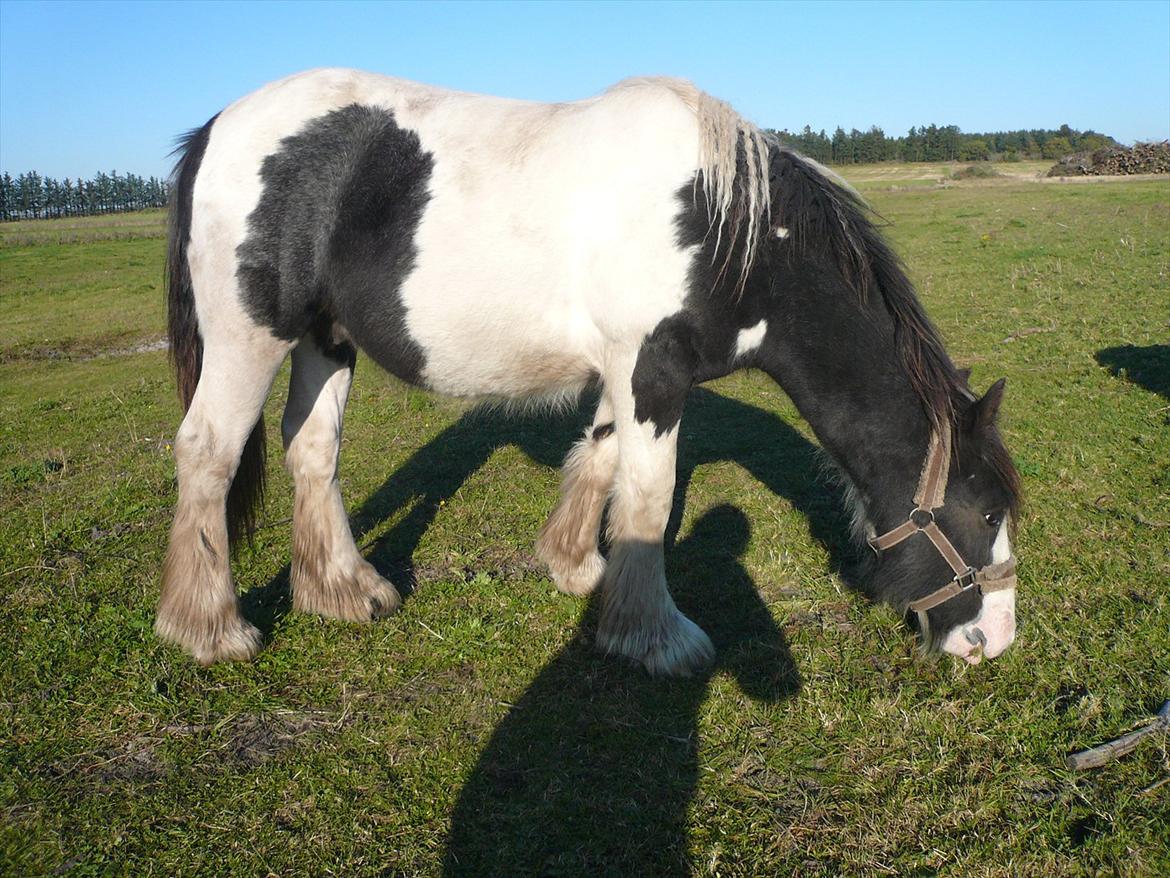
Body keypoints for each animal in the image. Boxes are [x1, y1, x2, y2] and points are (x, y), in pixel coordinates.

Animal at [157, 68, 1024, 678]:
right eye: (984, 511)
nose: (995, 640)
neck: (728, 233)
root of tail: (219, 126)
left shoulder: (630, 371)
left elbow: (604, 460)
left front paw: (577, 569)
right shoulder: (654, 372)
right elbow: (648, 497)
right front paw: (655, 638)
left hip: (325, 338)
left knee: (311, 450)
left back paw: (344, 592)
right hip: (248, 336)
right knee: (207, 451)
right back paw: (211, 630)